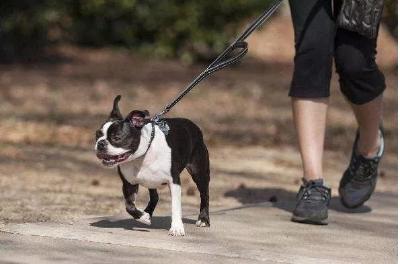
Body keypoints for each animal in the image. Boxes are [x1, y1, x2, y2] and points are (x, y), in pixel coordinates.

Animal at [95, 96, 211, 236]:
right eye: (97, 135)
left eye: (117, 138)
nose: (100, 143)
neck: (141, 156)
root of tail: (193, 126)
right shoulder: (129, 184)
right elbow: (129, 206)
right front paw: (143, 217)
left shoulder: (174, 182)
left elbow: (175, 206)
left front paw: (177, 227)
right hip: (151, 181)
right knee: (155, 196)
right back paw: (147, 213)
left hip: (199, 172)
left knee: (204, 194)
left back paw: (203, 219)